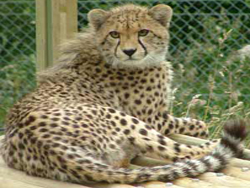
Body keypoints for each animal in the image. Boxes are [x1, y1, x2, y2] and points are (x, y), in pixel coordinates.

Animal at [1, 4, 248, 184]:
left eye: (143, 32)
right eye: (114, 34)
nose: (129, 51)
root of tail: (51, 147)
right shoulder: (157, 119)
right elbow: (197, 124)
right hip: (125, 119)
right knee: (184, 152)